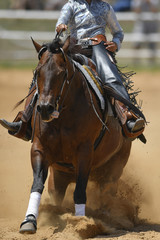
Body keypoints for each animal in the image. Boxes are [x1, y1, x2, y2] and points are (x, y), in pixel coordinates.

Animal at [18, 36, 132, 233]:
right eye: (38, 72)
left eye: (62, 72)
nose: (45, 108)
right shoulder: (39, 148)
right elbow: (37, 184)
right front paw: (29, 220)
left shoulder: (84, 152)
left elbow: (80, 190)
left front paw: (81, 223)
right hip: (59, 175)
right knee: (57, 193)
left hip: (115, 167)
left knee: (107, 192)